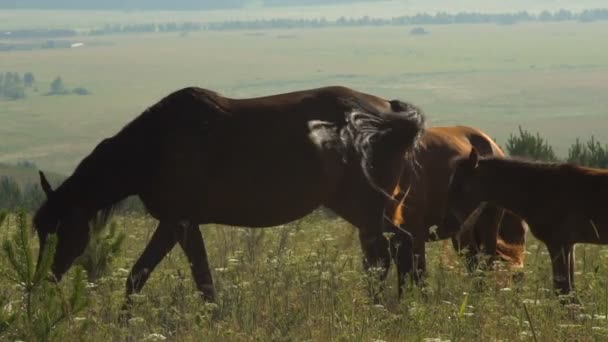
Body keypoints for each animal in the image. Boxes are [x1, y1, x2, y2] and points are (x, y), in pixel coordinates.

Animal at [32, 86, 422, 304]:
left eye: (58, 231)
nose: (41, 283)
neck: (156, 145)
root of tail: (391, 115)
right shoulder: (174, 224)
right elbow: (139, 277)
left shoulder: (181, 222)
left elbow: (200, 281)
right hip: (369, 211)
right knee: (400, 247)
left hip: (364, 209)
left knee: (384, 256)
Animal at [444, 148, 608, 296]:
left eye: (461, 186)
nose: (448, 225)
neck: (541, 190)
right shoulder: (568, 244)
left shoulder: (557, 243)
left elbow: (563, 291)